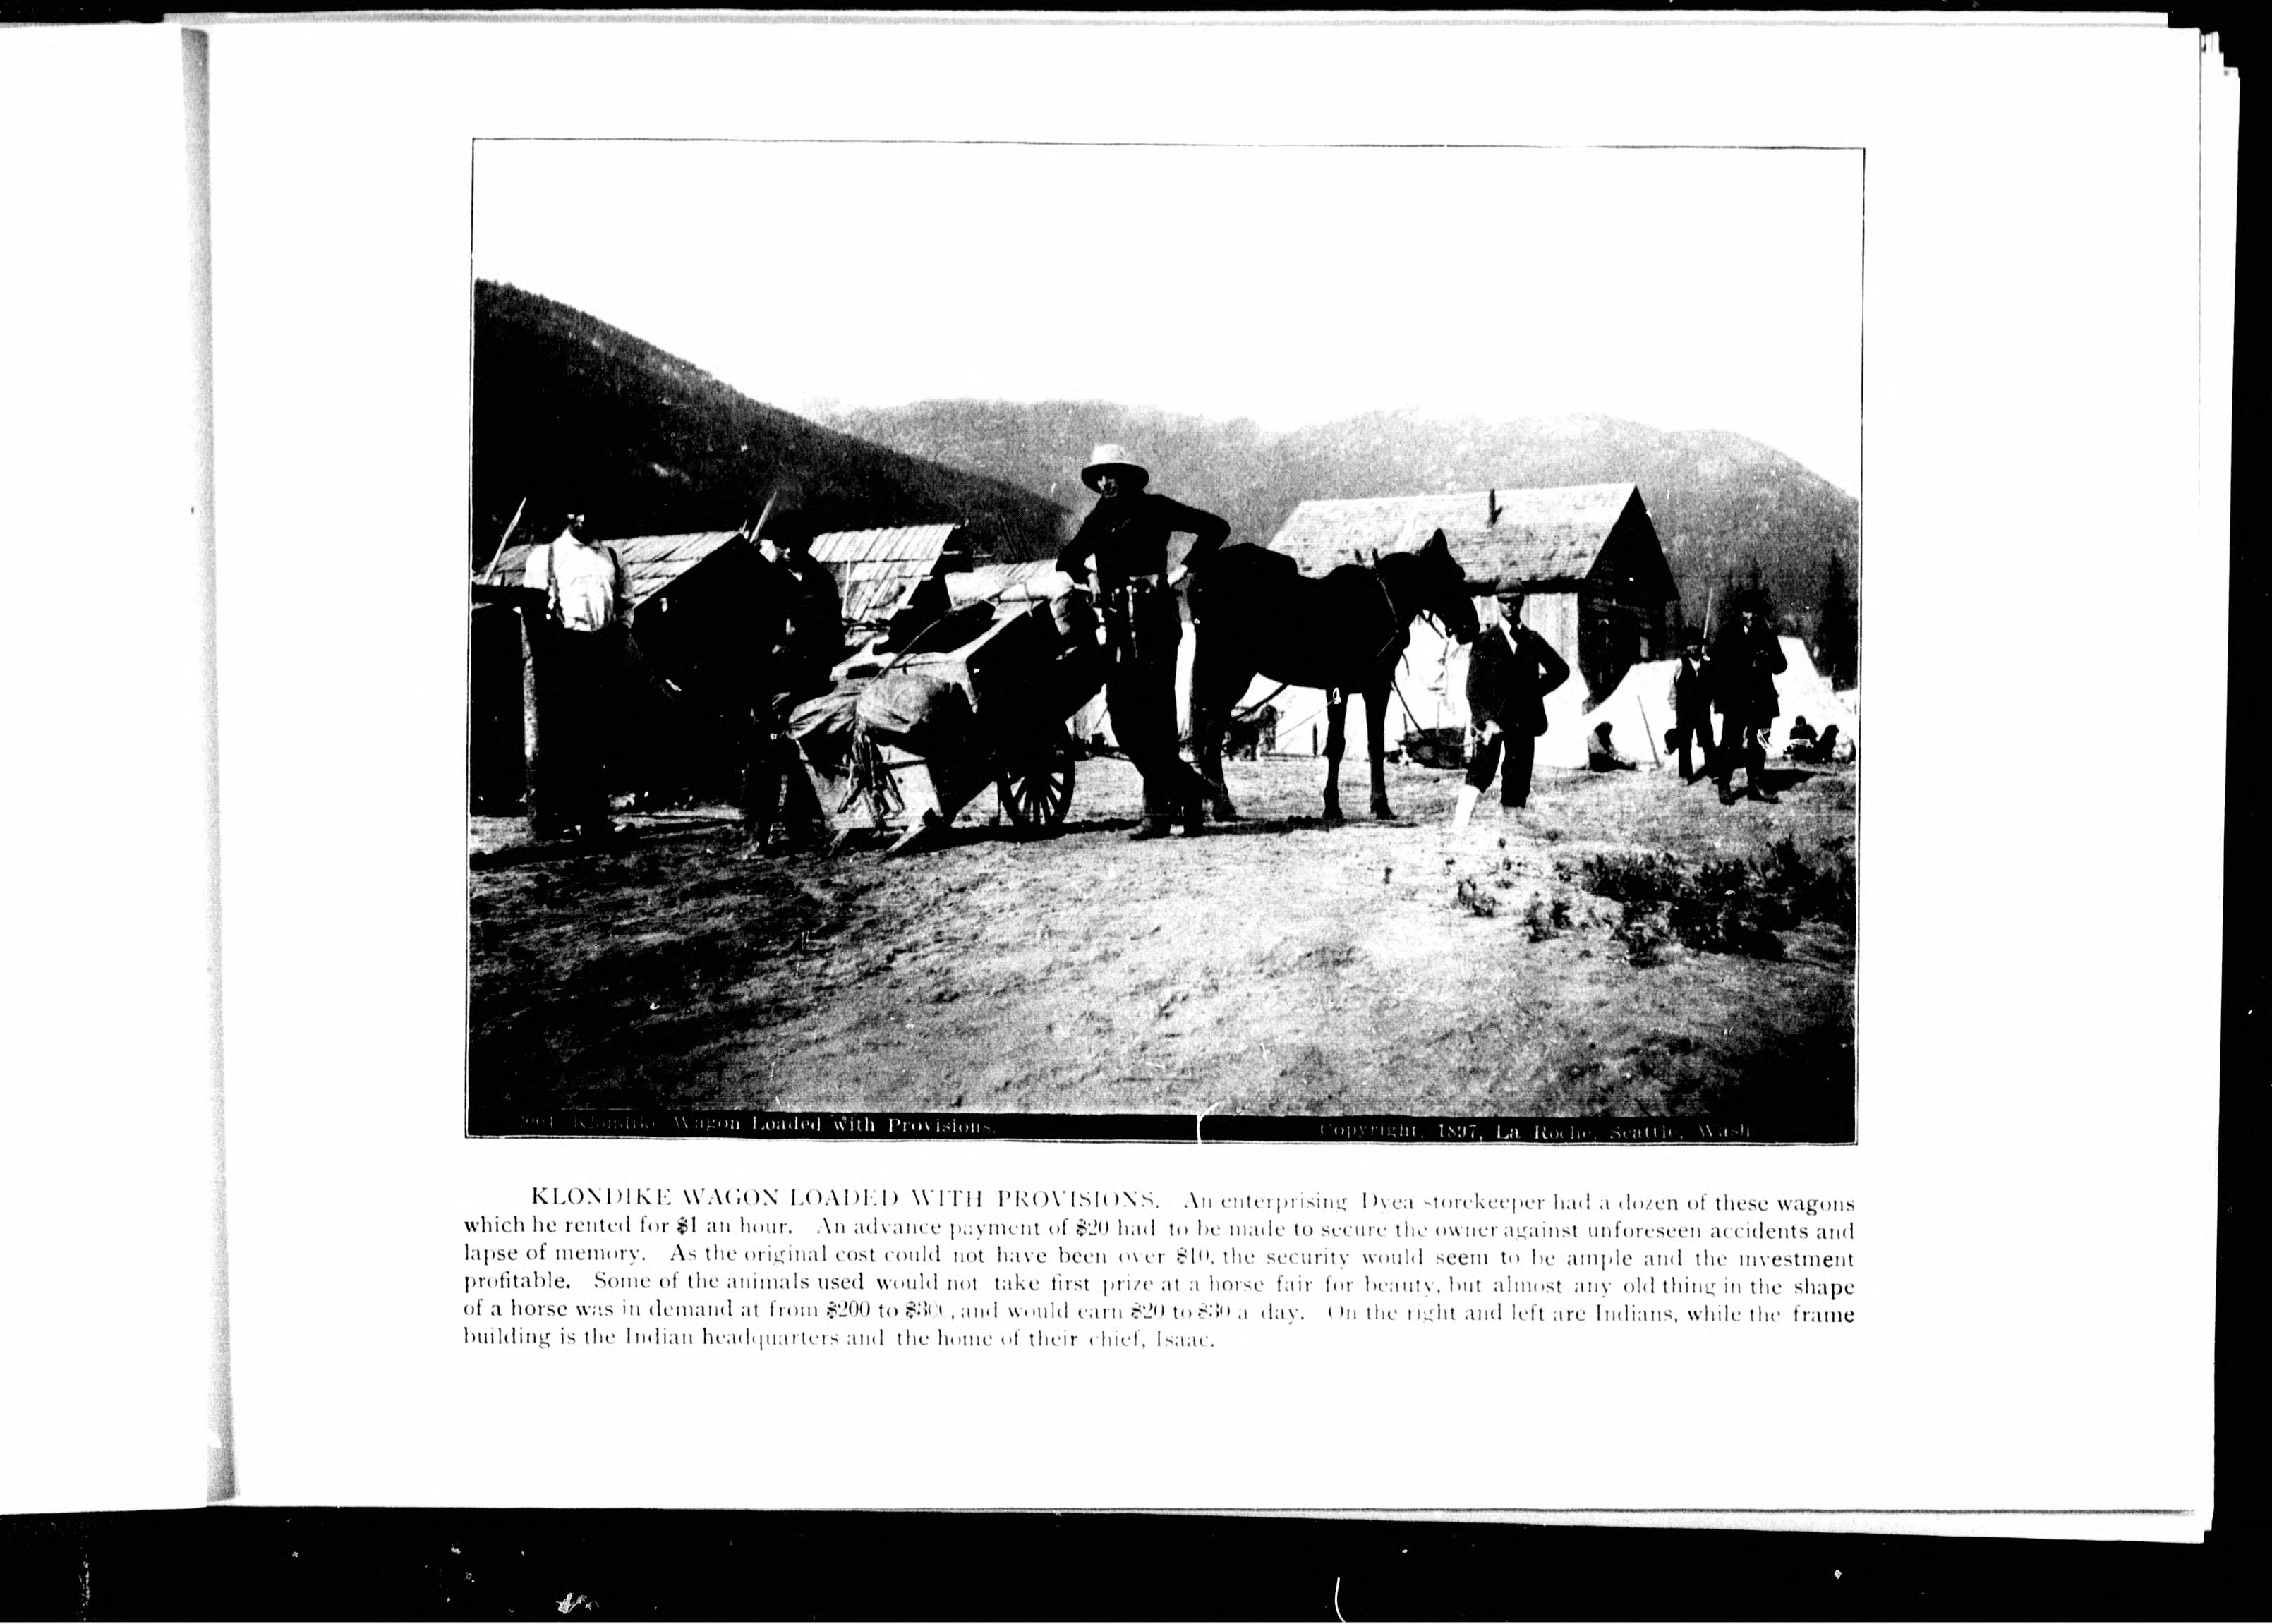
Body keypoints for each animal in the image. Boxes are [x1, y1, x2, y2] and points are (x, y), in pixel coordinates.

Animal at [1188, 530, 1480, 823]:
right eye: (1451, 575)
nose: (1472, 627)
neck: (1378, 606)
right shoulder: (1352, 687)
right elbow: (1340, 745)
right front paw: (1339, 806)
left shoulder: (1368, 688)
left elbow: (1373, 745)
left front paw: (1375, 805)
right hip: (1232, 675)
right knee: (1212, 735)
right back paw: (1222, 804)